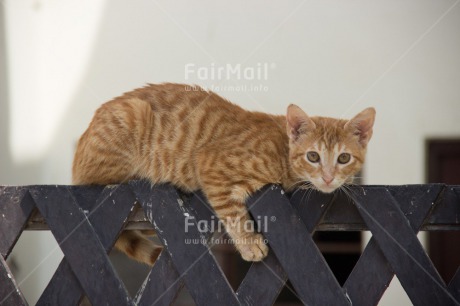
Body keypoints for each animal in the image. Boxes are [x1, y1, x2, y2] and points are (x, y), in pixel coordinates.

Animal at [72, 83, 374, 266]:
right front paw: (249, 243)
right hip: (132, 117)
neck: (281, 149)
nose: (328, 177)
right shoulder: (211, 164)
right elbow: (233, 212)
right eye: (313, 156)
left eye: (343, 158)